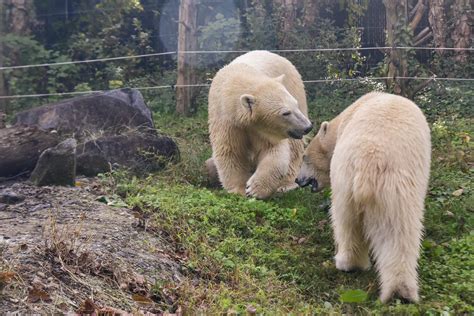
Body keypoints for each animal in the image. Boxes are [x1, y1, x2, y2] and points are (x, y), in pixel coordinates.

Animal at [208, 51, 312, 200]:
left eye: (295, 105)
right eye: (285, 113)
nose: (308, 127)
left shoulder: (264, 129)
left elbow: (272, 150)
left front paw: (254, 189)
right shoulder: (226, 121)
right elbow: (230, 151)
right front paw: (239, 190)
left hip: (294, 86)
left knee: (294, 147)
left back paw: (286, 184)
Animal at [298, 92, 432, 304]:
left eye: (305, 157)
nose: (298, 180)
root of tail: (368, 162)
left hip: (356, 184)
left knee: (361, 225)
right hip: (381, 188)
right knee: (384, 230)